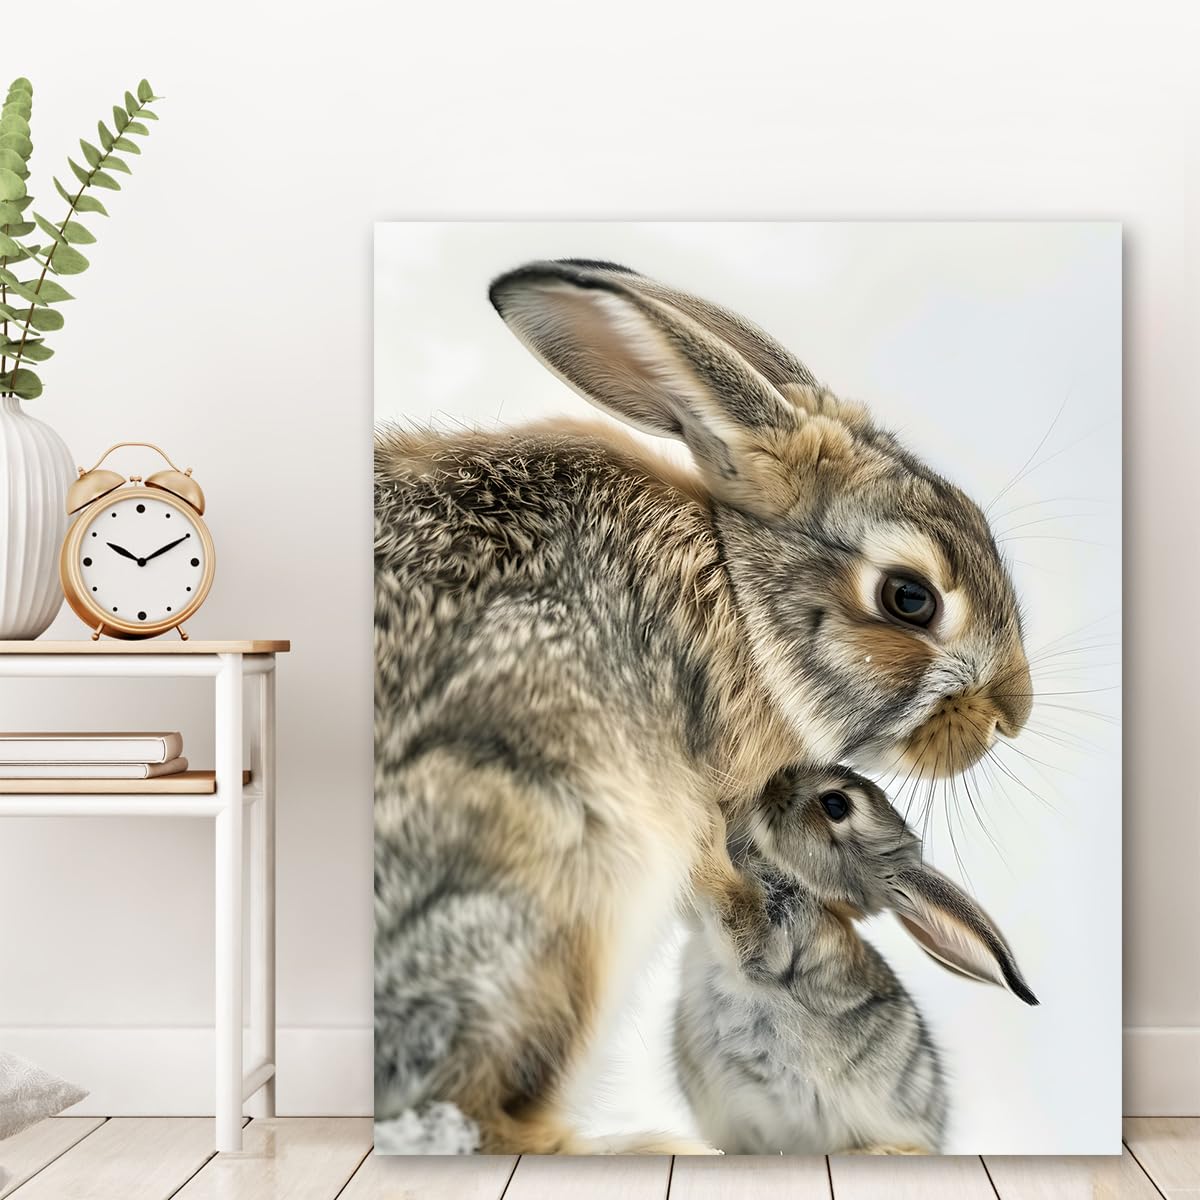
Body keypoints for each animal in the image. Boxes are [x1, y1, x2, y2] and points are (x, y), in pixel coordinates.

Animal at [674, 764, 1037, 1155]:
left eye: (836, 804)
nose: (776, 781)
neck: (816, 894)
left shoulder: (783, 936)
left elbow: (736, 916)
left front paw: (708, 824)